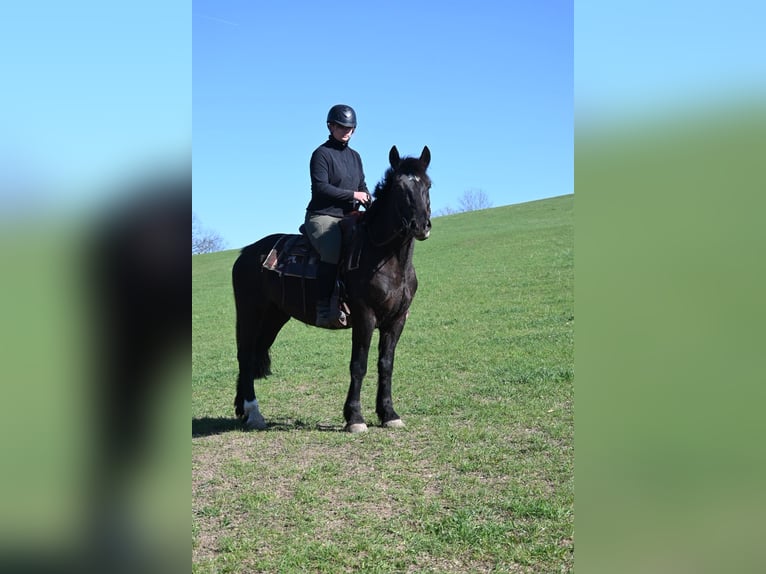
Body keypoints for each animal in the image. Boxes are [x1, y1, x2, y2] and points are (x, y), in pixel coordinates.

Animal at [232, 145, 432, 432]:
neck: (384, 256)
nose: (421, 225)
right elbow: (359, 365)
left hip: (273, 317)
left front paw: (389, 414)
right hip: (250, 314)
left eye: (427, 185)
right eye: (399, 187)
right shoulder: (365, 317)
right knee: (245, 356)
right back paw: (254, 412)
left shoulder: (396, 321)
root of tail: (246, 253)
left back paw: (244, 410)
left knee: (253, 354)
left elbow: (386, 365)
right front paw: (355, 418)